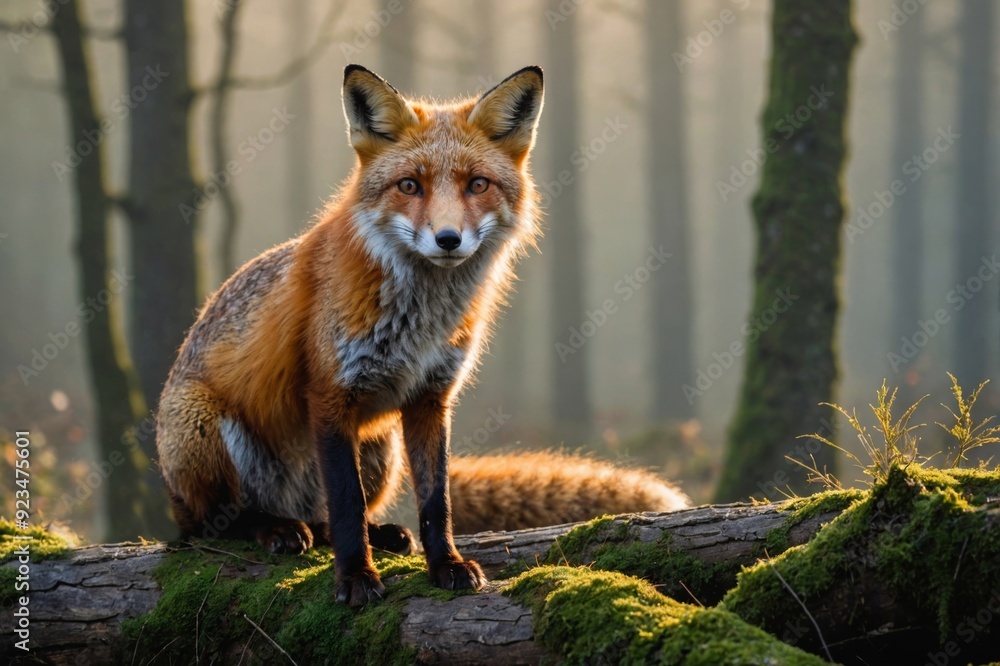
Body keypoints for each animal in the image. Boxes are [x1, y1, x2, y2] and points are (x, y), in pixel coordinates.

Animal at [155, 64, 689, 606]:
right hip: (204, 427)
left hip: (380, 448)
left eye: (478, 184)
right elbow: (346, 503)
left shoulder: (430, 397)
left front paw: (445, 564)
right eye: (410, 185)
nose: (448, 239)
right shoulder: (330, 395)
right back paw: (273, 528)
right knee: (214, 524)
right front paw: (355, 576)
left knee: (325, 519)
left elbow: (436, 501)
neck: (419, 321)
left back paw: (371, 533)